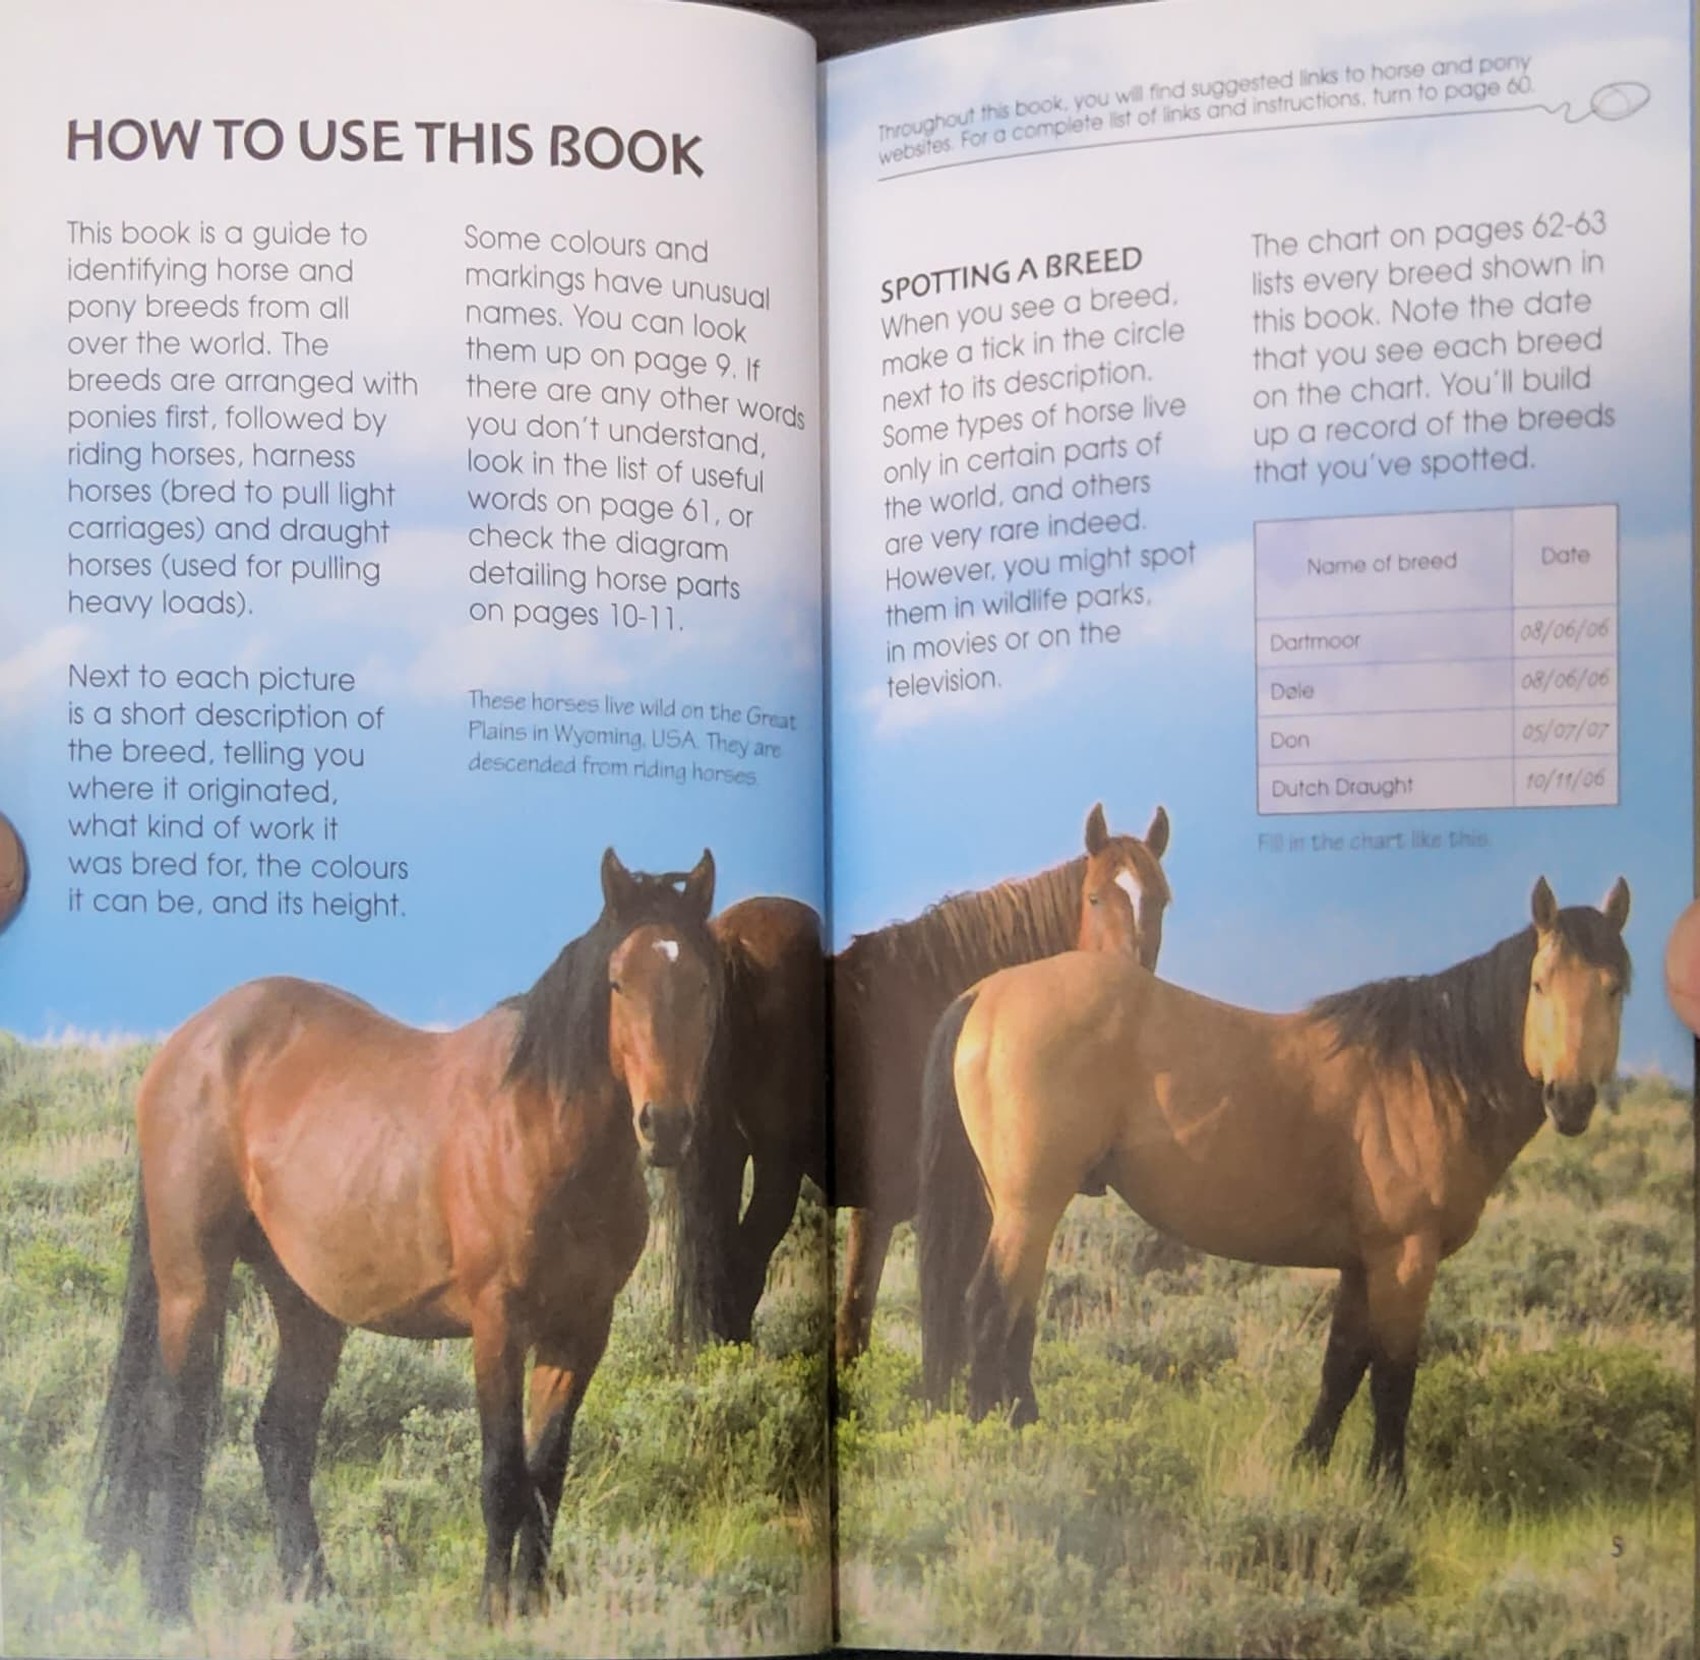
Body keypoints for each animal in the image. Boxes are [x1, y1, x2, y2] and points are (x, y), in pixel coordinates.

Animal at [86, 848, 724, 1623]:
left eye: (701, 981)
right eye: (618, 981)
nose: (665, 1124)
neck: (542, 1131)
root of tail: (187, 1045)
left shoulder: (580, 1332)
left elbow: (547, 1477)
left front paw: (531, 1606)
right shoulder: (498, 1323)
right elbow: (502, 1478)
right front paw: (491, 1612)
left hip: (308, 1308)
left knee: (281, 1438)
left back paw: (318, 1598)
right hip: (192, 1283)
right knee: (172, 1431)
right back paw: (168, 1605)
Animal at [918, 876, 1632, 1490]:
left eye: (1616, 987)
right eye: (1539, 984)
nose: (1570, 1099)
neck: (1429, 1076)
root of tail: (986, 995)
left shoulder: (1362, 1262)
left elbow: (1342, 1365)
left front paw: (1307, 1462)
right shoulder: (1406, 1257)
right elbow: (1393, 1377)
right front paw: (1388, 1489)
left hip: (1019, 1209)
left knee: (1017, 1317)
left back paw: (1031, 1429)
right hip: (1029, 1207)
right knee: (989, 1311)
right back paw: (997, 1445)